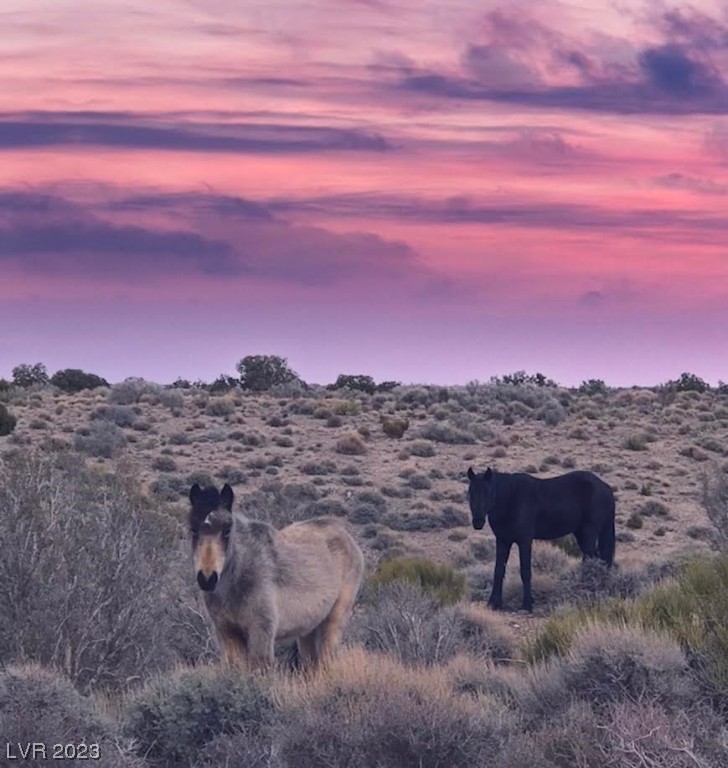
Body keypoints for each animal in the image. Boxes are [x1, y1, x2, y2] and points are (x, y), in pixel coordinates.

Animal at [466, 468, 616, 612]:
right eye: (471, 493)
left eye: (488, 492)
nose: (478, 522)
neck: (511, 498)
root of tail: (605, 487)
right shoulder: (503, 541)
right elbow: (498, 571)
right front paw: (494, 603)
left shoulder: (524, 541)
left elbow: (525, 572)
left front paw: (527, 605)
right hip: (581, 534)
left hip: (589, 532)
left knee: (592, 560)